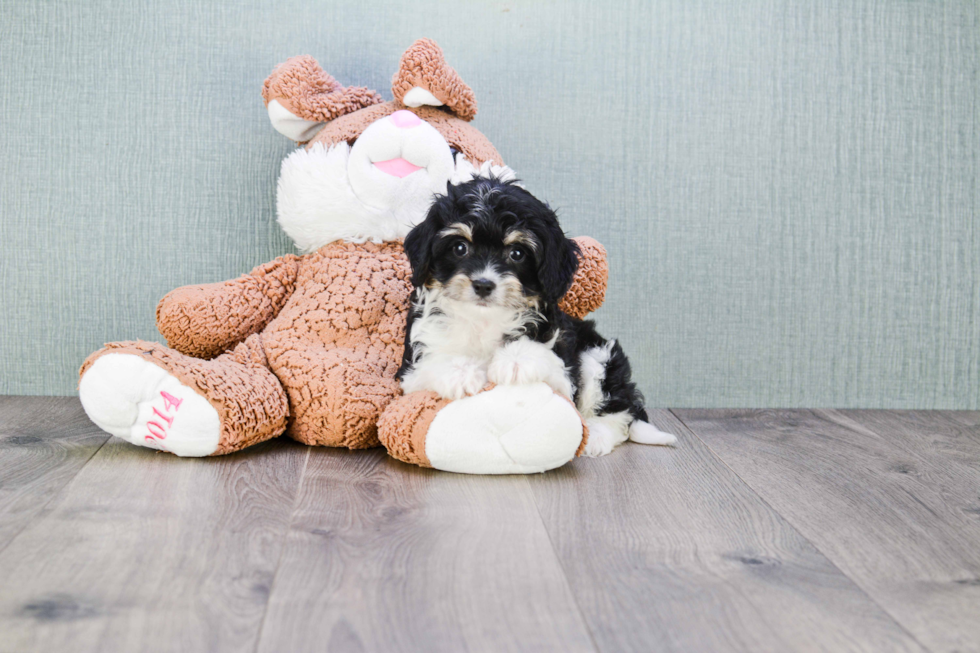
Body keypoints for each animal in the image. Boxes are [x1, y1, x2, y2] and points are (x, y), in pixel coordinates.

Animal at [394, 176, 676, 456]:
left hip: (599, 356)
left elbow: (545, 359)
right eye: (460, 247)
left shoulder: (564, 373)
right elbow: (430, 365)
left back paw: (596, 436)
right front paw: (460, 372)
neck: (484, 319)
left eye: (517, 253)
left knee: (618, 412)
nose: (484, 284)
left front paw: (515, 359)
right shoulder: (410, 372)